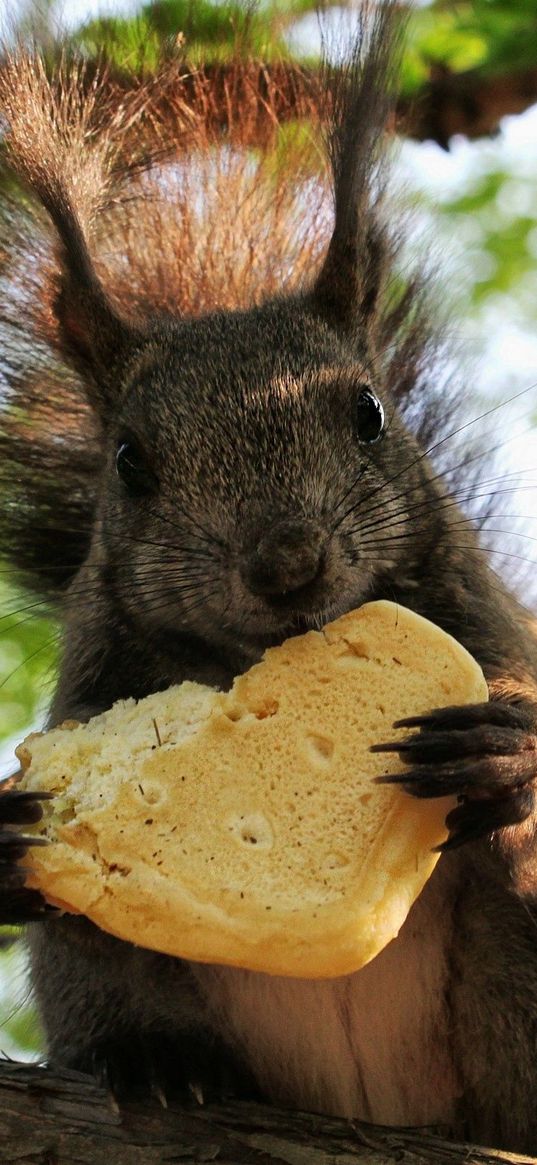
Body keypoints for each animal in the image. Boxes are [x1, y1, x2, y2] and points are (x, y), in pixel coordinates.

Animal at [1, 4, 535, 1155]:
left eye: (370, 414)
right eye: (129, 462)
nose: (286, 564)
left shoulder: (488, 622)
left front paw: (505, 746)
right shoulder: (91, 684)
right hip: (103, 975)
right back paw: (156, 1061)